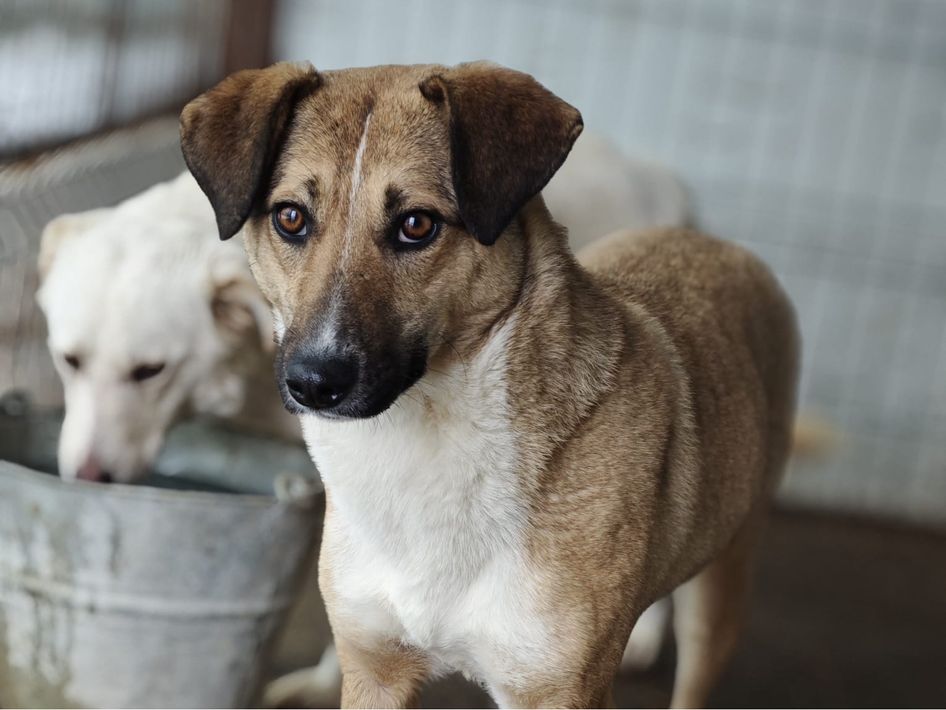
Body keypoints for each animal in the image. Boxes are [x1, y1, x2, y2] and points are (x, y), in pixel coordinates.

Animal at [181, 61, 799, 708]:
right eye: (291, 218)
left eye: (417, 225)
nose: (312, 383)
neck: (423, 447)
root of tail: (717, 243)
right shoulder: (374, 668)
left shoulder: (557, 690)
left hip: (723, 585)